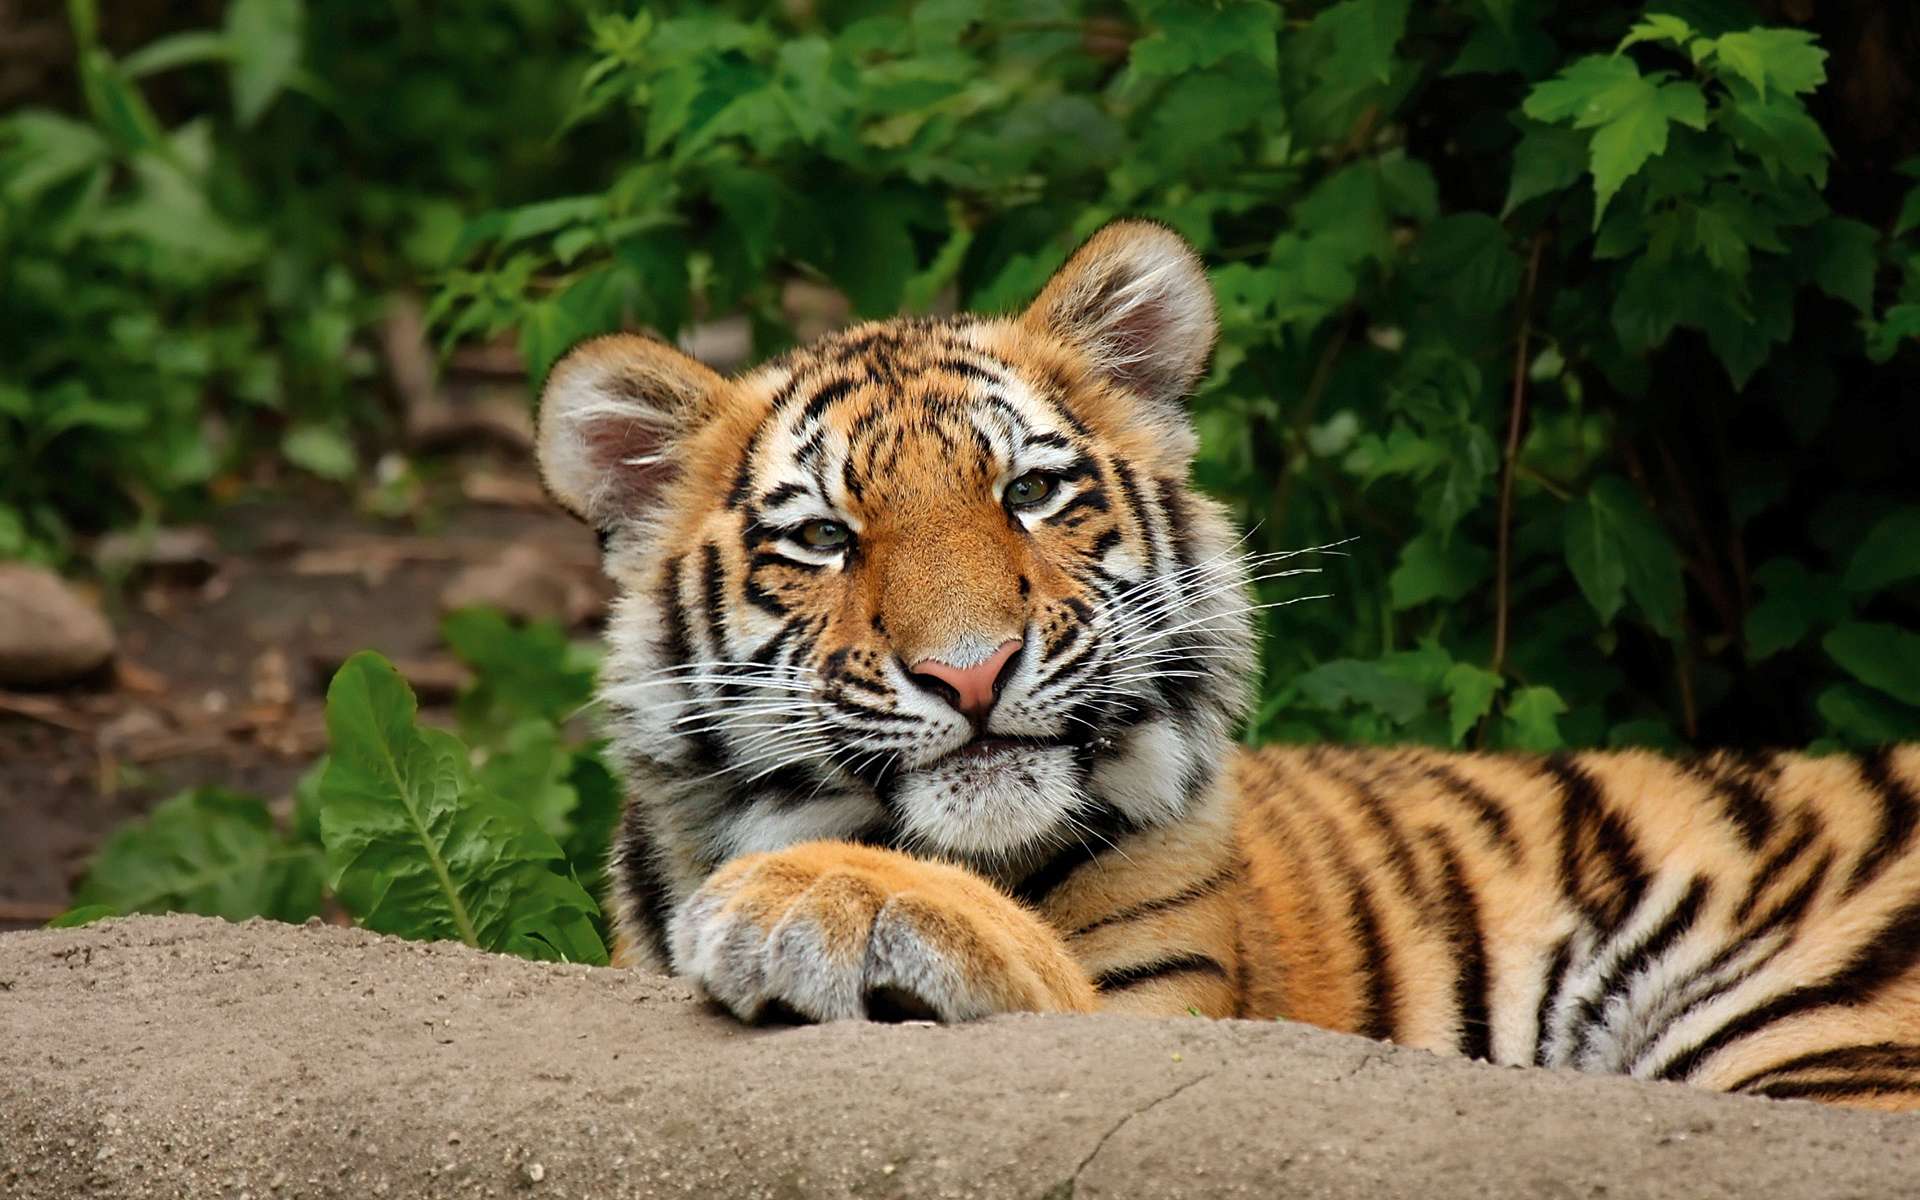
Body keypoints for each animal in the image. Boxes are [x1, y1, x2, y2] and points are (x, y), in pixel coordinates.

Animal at [529, 217, 1920, 1113]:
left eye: (1030, 494)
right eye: (824, 539)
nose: (973, 673)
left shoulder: (1172, 1022)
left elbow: (1049, 986)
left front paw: (833, 897)